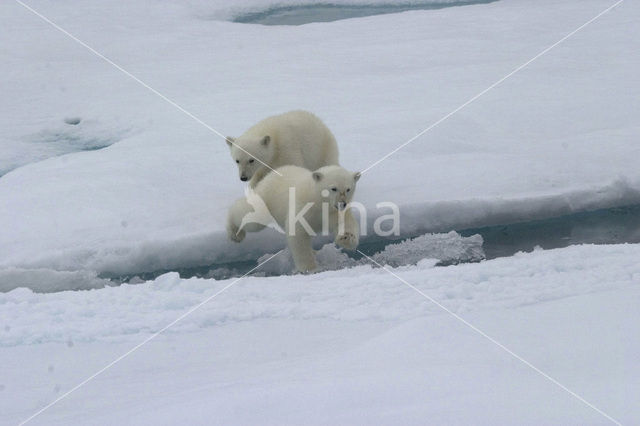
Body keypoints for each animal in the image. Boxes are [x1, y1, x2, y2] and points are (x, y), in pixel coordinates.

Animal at [229, 165, 360, 272]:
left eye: (348, 189)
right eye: (333, 188)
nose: (342, 203)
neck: (317, 200)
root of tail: (269, 175)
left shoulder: (333, 212)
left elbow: (346, 223)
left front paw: (346, 238)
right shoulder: (303, 207)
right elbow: (298, 233)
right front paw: (310, 268)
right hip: (267, 200)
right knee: (252, 218)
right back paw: (235, 233)